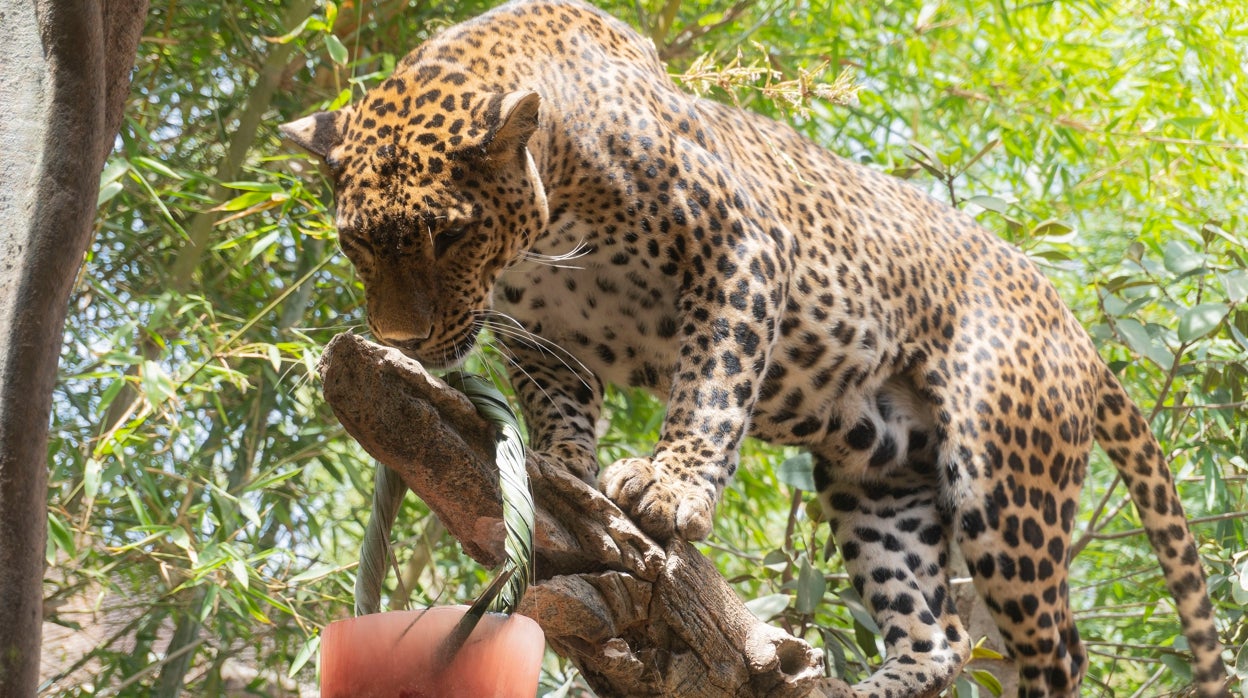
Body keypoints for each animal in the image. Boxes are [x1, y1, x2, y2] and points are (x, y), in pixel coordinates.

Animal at [280, 2, 1228, 694]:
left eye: (447, 235)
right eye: (356, 241)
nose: (400, 339)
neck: (550, 215)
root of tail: (1074, 327)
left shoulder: (738, 248)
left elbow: (713, 380)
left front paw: (670, 488)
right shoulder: (541, 332)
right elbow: (557, 398)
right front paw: (561, 463)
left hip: (1002, 486)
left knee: (1055, 649)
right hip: (877, 481)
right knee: (940, 633)